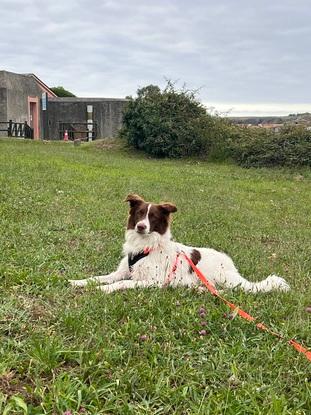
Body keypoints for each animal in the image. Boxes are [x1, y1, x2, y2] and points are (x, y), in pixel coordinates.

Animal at [69, 194, 292, 294]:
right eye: (139, 214)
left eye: (153, 217)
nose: (141, 226)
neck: (145, 246)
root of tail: (228, 261)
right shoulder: (123, 271)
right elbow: (99, 277)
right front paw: (78, 282)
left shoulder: (154, 281)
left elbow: (122, 283)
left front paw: (106, 289)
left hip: (226, 280)